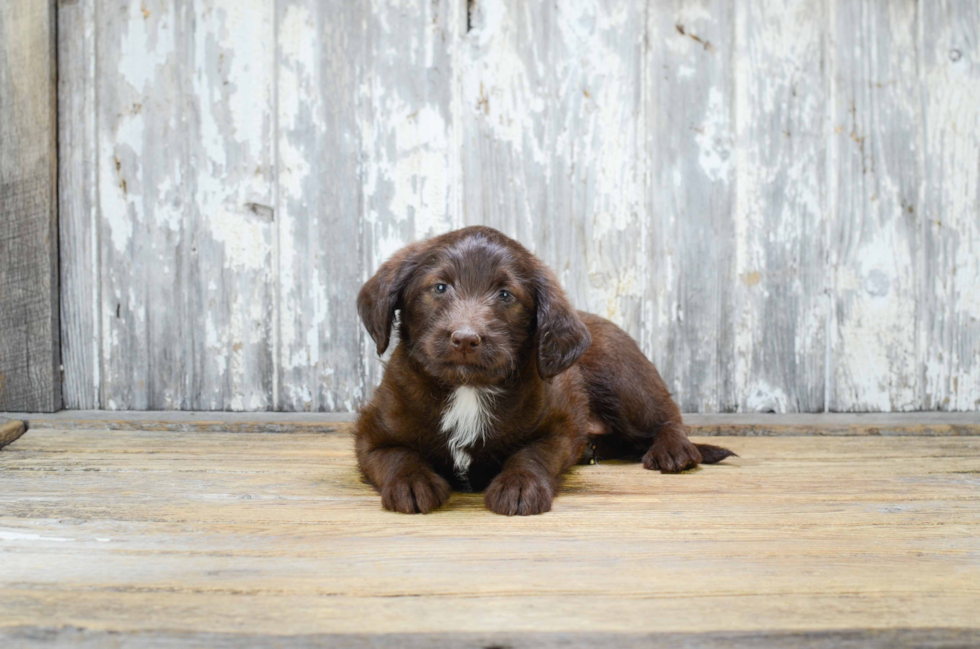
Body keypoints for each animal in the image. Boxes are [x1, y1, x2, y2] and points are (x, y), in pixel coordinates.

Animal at [356, 225, 732, 512]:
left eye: (505, 295)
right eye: (439, 287)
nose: (465, 339)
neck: (468, 388)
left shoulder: (558, 428)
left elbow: (531, 453)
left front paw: (520, 485)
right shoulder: (371, 433)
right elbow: (396, 454)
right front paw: (411, 482)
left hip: (622, 378)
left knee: (667, 416)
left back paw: (673, 450)